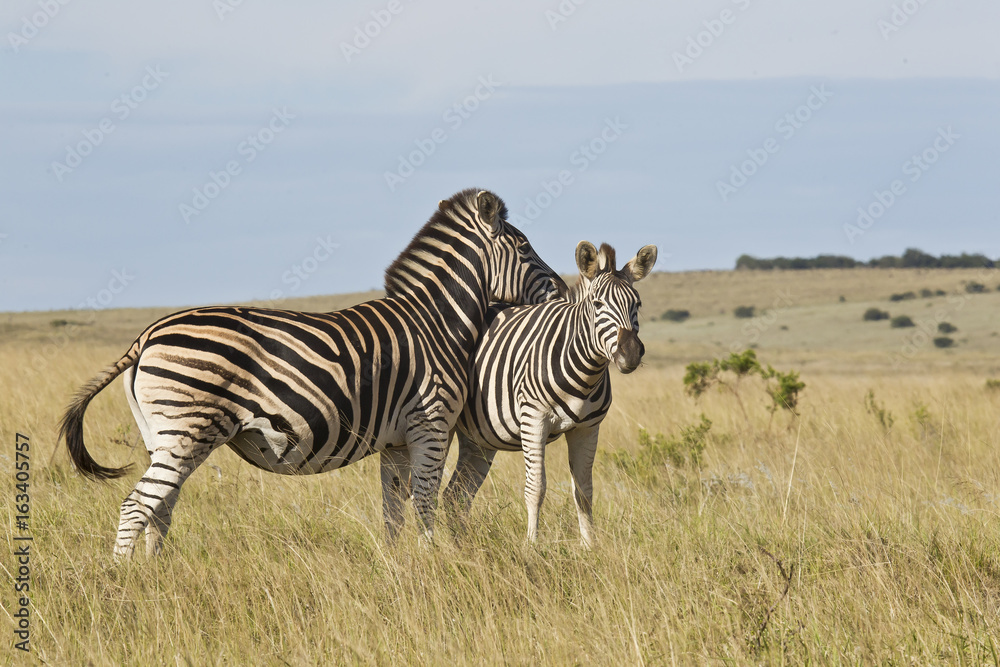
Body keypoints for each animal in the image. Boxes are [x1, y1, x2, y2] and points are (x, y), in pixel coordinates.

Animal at [59, 188, 564, 558]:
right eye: (524, 247)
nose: (562, 288)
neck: (435, 320)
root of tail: (146, 336)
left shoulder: (397, 440)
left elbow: (393, 511)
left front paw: (397, 566)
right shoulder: (431, 423)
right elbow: (425, 501)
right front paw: (432, 562)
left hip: (162, 435)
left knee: (159, 507)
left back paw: (154, 575)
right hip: (189, 427)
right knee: (136, 505)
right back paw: (124, 582)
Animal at [441, 241, 657, 547]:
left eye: (636, 304)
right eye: (597, 304)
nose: (630, 353)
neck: (585, 373)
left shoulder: (587, 428)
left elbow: (584, 492)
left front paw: (590, 547)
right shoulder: (534, 421)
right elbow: (536, 488)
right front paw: (531, 546)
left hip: (478, 437)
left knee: (455, 495)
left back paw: (460, 546)